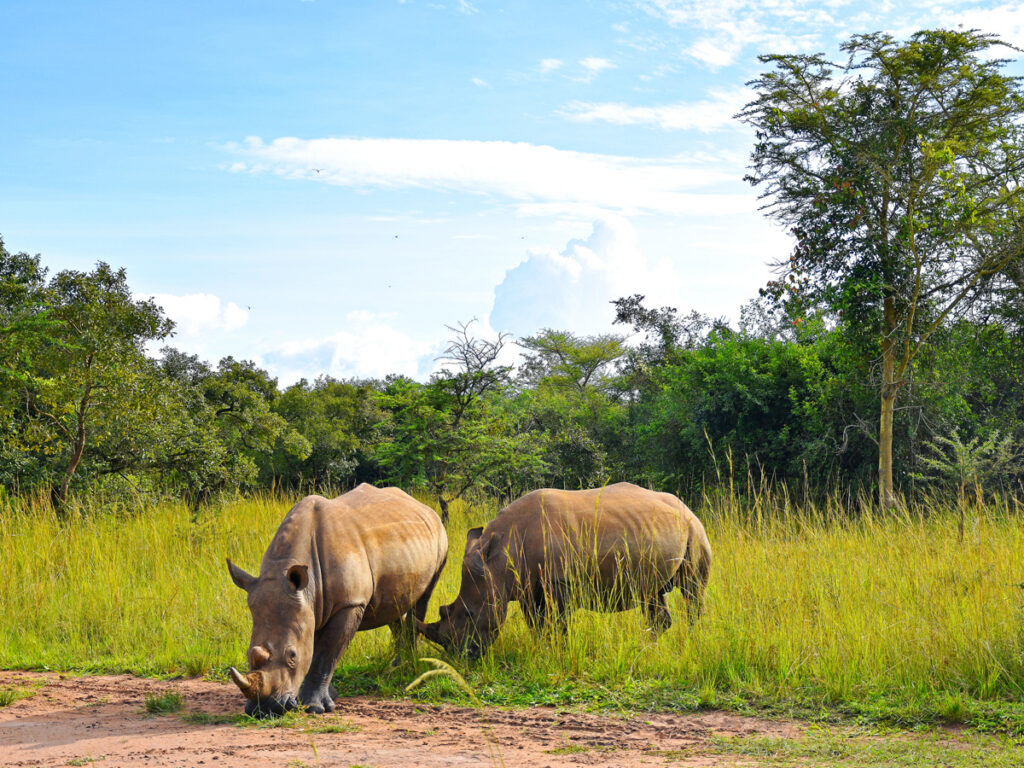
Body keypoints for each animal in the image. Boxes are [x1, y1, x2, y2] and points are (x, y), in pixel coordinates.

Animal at [226, 483, 447, 716]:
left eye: (292, 656)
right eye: (248, 654)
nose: (265, 709)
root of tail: (425, 507)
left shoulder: (349, 603)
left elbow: (327, 652)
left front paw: (315, 707)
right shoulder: (311, 604)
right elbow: (316, 648)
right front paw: (330, 697)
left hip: (440, 541)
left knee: (423, 599)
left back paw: (406, 666)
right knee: (395, 605)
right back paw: (396, 666)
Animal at [417, 482, 711, 658]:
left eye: (469, 613)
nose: (461, 656)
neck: (500, 556)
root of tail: (687, 508)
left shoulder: (559, 583)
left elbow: (557, 624)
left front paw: (557, 654)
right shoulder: (526, 587)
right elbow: (537, 625)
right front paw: (543, 652)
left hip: (694, 530)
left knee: (692, 590)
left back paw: (691, 644)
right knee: (652, 593)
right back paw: (647, 649)